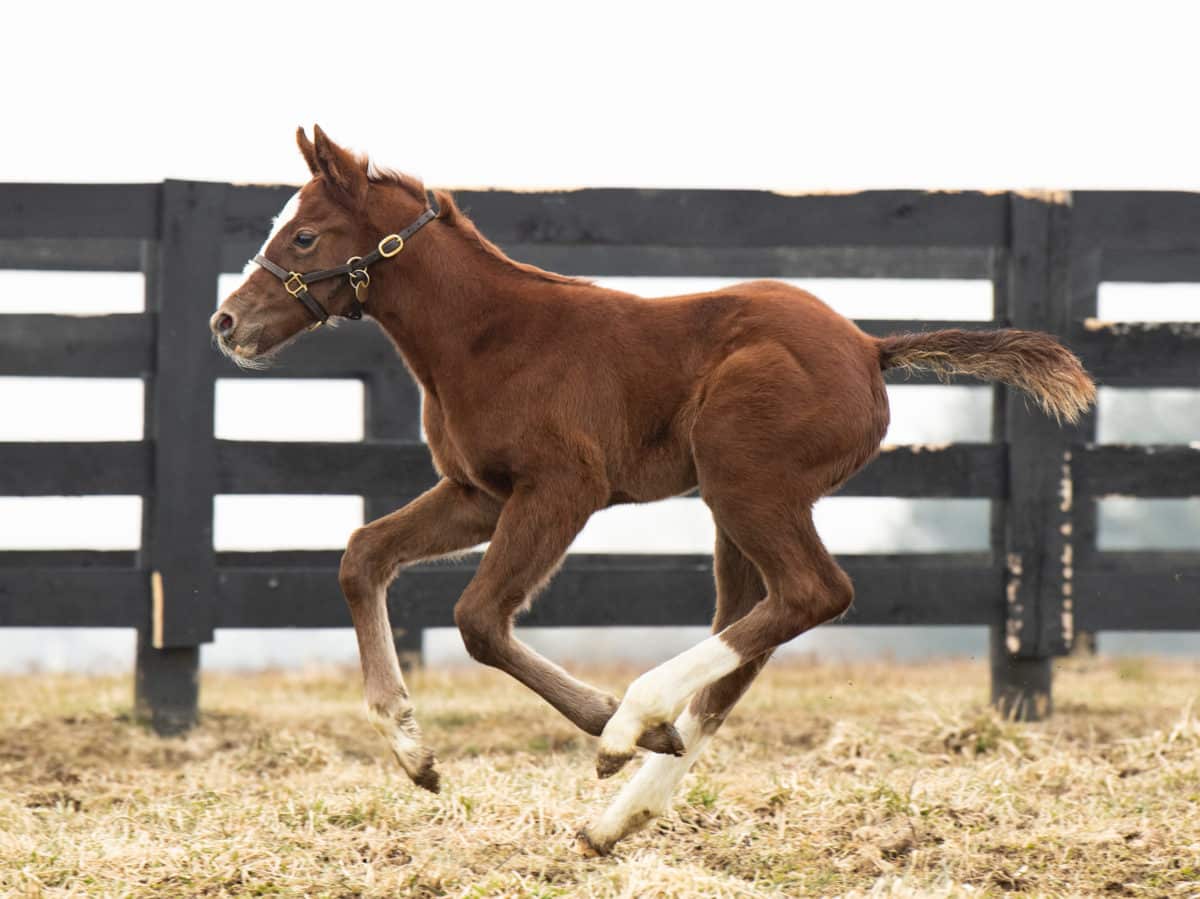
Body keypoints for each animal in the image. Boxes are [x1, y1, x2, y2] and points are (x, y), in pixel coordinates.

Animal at [213, 127, 1099, 854]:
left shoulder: (560, 487)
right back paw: (621, 813)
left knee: (812, 592)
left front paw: (603, 720)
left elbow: (479, 620)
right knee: (754, 627)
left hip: (746, 481)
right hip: (738, 506)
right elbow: (362, 555)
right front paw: (413, 752)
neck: (488, 336)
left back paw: (635, 724)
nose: (227, 323)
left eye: (303, 233)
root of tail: (868, 348)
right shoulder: (477, 492)